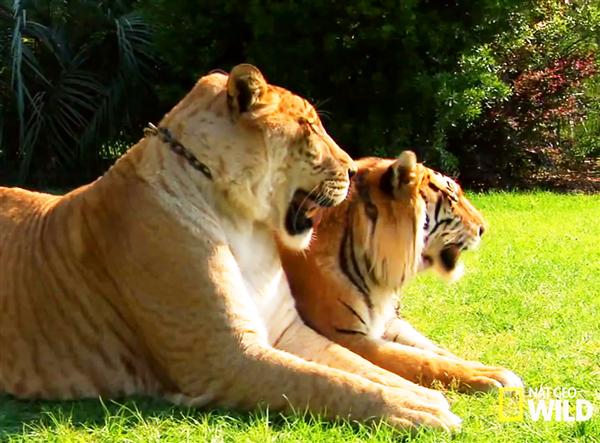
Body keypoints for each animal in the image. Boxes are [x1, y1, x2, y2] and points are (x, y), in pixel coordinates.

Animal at [0, 66, 460, 434]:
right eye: (310, 128)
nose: (351, 170)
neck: (245, 227)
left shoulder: (289, 331)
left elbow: (364, 368)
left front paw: (422, 394)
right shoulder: (224, 358)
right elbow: (325, 382)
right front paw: (420, 409)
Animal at [278, 152, 524, 392]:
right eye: (452, 199)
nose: (484, 228)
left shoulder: (388, 321)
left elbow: (435, 349)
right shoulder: (345, 335)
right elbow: (419, 359)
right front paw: (494, 375)